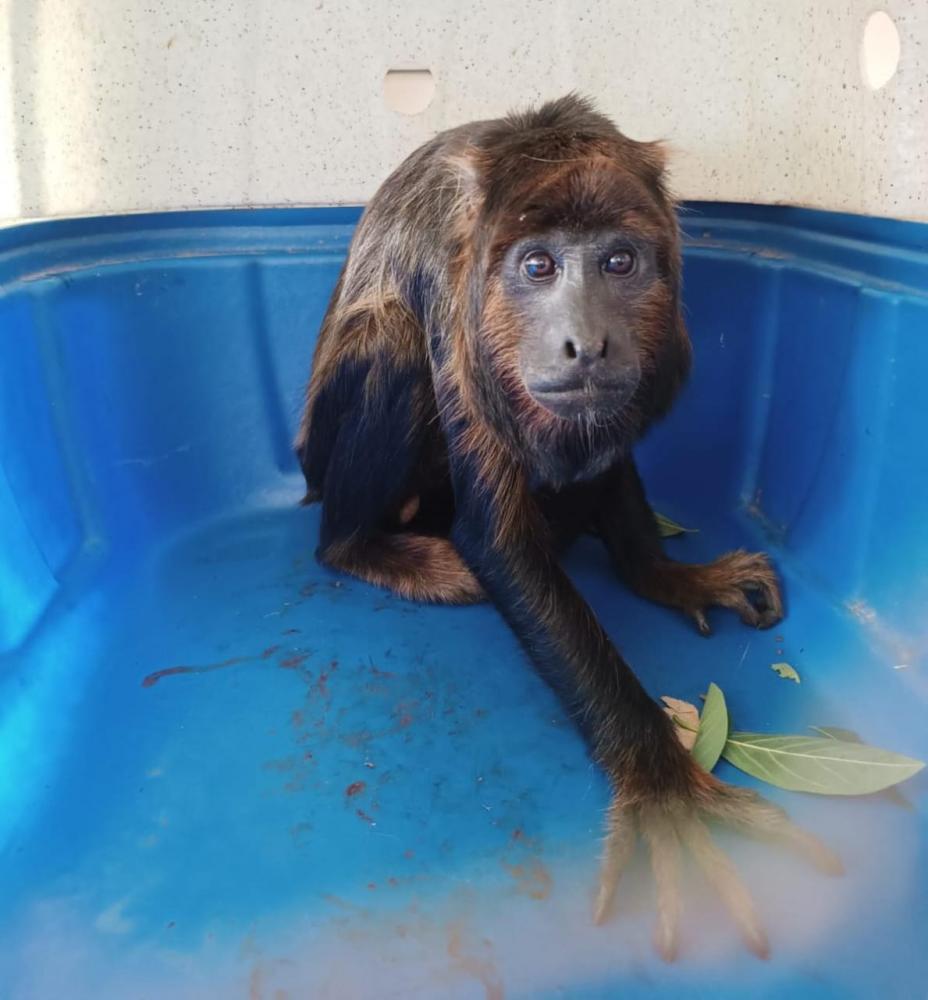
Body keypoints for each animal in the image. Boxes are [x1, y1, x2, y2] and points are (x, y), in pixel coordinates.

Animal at [295, 94, 840, 959]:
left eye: (618, 263)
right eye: (537, 267)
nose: (585, 343)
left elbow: (610, 455)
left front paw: (667, 576)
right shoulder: (454, 288)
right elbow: (497, 541)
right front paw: (660, 781)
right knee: (392, 340)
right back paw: (368, 548)